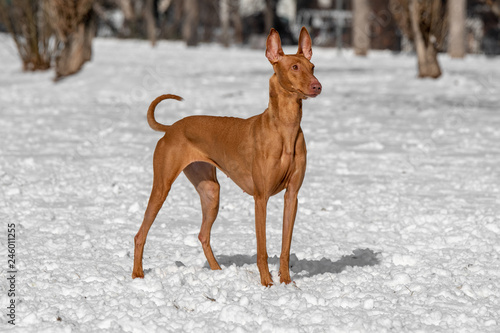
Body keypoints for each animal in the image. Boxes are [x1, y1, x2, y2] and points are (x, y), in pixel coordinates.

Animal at [133, 27, 320, 286]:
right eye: (294, 67)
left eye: (312, 67)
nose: (317, 86)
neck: (285, 128)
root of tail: (172, 128)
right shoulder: (261, 198)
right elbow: (262, 248)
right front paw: (267, 283)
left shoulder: (292, 196)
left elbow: (285, 245)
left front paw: (286, 282)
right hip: (162, 188)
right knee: (140, 233)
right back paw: (137, 274)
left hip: (211, 191)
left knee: (203, 234)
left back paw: (217, 271)